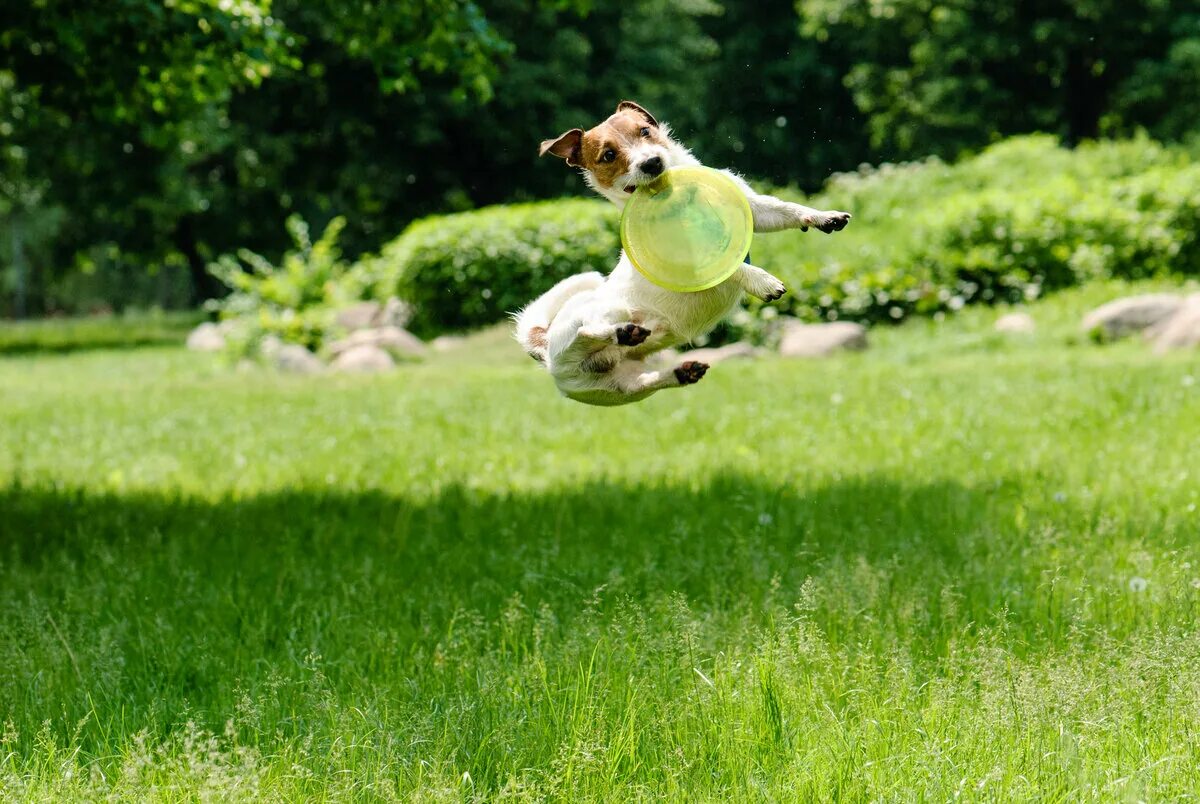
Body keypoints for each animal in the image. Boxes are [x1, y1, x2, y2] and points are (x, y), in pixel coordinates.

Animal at [516, 103, 854, 405]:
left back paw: (678, 371)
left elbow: (786, 210)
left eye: (645, 131)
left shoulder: (754, 211)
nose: (652, 163)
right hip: (600, 317)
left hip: (619, 389)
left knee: (641, 382)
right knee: (587, 331)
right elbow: (730, 268)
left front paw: (825, 217)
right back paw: (622, 333)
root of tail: (546, 346)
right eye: (608, 155)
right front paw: (761, 281)